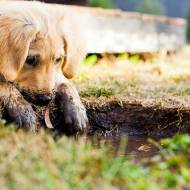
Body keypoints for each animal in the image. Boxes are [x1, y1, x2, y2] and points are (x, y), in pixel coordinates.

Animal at [0, 0, 88, 133]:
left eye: (58, 60)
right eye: (30, 59)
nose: (47, 99)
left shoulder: (56, 73)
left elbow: (66, 84)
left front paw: (77, 110)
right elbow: (5, 85)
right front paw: (23, 110)